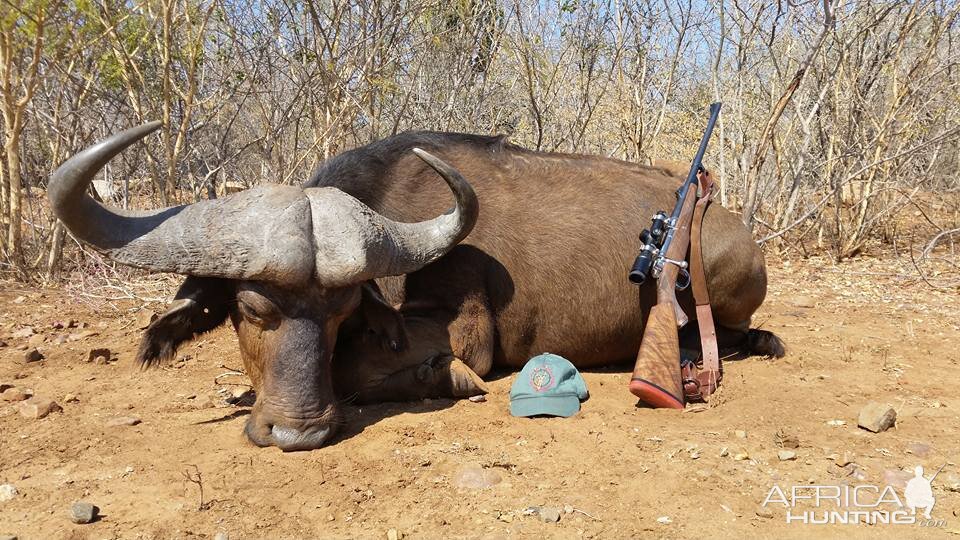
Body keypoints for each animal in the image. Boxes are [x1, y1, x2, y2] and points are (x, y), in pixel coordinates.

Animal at [50, 123, 780, 452]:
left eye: (344, 311)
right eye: (250, 309)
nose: (298, 432)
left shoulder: (461, 329)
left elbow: (379, 367)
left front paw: (442, 377)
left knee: (736, 334)